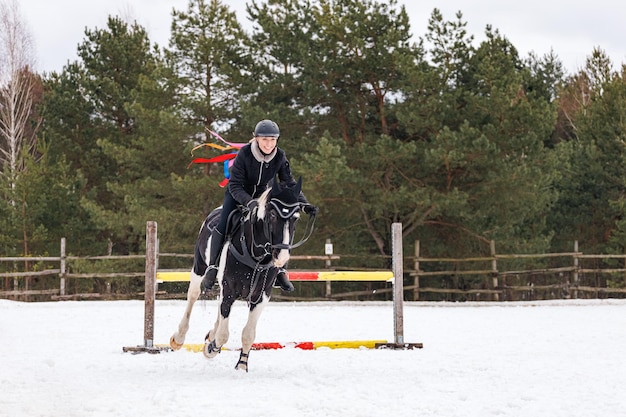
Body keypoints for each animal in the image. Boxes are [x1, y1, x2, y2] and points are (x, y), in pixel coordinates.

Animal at [168, 179, 312, 370]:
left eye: (296, 218)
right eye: (273, 215)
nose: (281, 257)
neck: (255, 255)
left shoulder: (261, 295)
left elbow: (248, 333)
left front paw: (242, 365)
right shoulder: (229, 289)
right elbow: (223, 334)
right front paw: (211, 348)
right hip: (199, 266)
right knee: (193, 295)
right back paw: (179, 338)